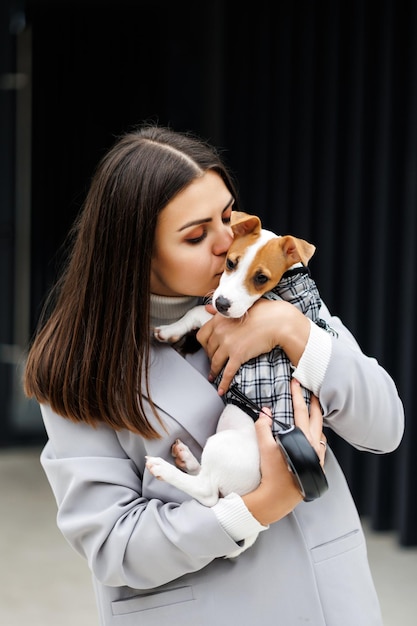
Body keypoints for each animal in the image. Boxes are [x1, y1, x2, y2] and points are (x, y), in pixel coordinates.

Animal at [145, 211, 324, 556]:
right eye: (230, 262)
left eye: (261, 278)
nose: (224, 303)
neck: (290, 285)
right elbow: (199, 308)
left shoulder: (223, 320)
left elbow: (196, 311)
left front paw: (169, 331)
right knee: (208, 482)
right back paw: (185, 457)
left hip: (222, 445)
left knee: (207, 492)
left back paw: (164, 468)